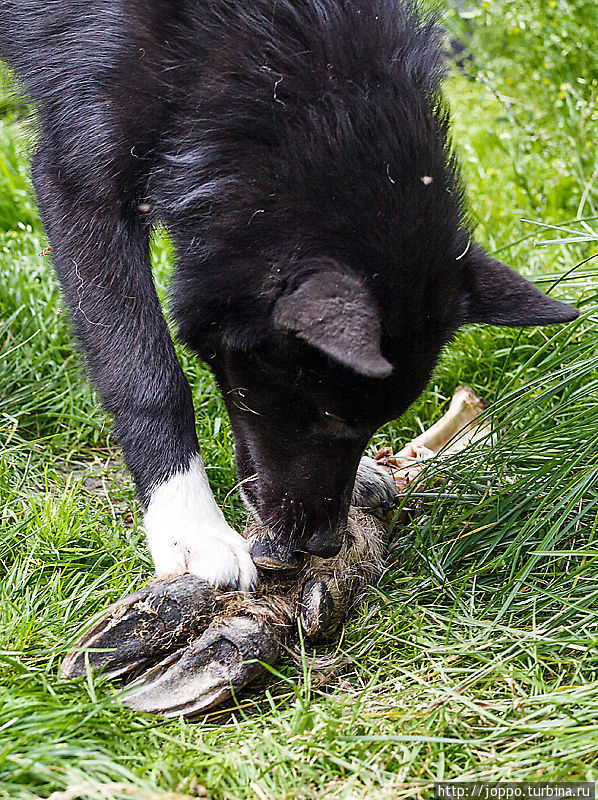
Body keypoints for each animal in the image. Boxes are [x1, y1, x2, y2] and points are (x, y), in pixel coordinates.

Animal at [1, 0, 580, 588]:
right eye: (328, 415)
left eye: (371, 423)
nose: (323, 546)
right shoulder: (80, 182)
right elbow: (148, 376)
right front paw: (190, 529)